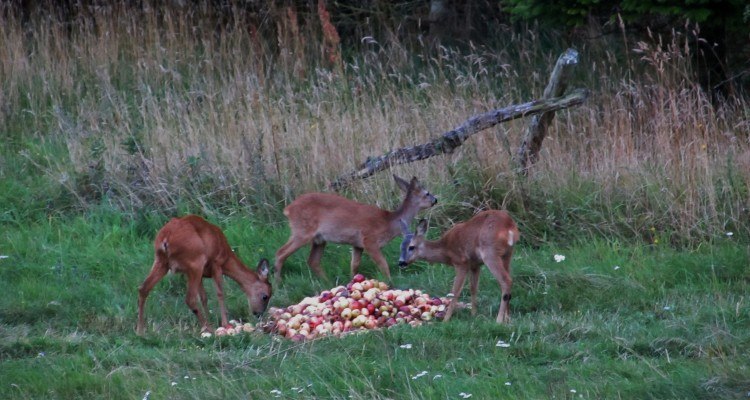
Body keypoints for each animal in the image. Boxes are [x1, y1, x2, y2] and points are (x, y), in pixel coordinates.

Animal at [137, 216, 274, 334]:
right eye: (265, 296)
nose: (258, 314)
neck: (227, 257)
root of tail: (165, 238)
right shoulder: (216, 263)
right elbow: (220, 293)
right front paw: (225, 324)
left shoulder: (200, 274)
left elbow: (204, 298)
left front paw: (211, 320)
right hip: (195, 261)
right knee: (190, 299)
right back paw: (207, 328)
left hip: (162, 262)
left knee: (143, 288)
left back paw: (140, 330)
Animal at [274, 173, 438, 282]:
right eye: (427, 193)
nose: (435, 199)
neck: (389, 222)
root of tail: (287, 209)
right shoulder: (369, 239)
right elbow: (383, 264)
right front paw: (390, 281)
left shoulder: (357, 244)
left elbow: (354, 265)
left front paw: (352, 282)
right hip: (302, 231)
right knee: (280, 252)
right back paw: (277, 283)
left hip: (319, 239)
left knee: (313, 261)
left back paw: (328, 283)